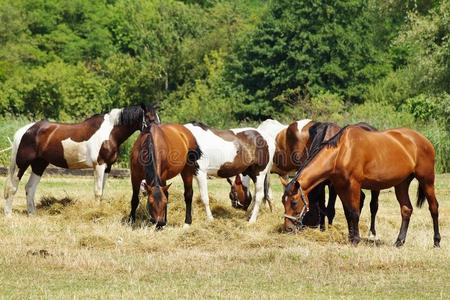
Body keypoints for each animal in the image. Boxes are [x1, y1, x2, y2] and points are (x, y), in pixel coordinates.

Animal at [3, 103, 157, 216]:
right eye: (150, 118)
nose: (157, 133)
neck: (109, 133)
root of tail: (26, 130)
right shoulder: (99, 165)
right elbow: (97, 191)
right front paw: (96, 212)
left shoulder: (108, 167)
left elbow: (102, 191)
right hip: (22, 163)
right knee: (13, 187)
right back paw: (8, 214)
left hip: (39, 164)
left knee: (30, 188)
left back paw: (32, 213)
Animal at [284, 123, 442, 247]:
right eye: (283, 202)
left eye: (293, 202)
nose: (288, 228)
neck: (342, 152)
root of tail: (424, 140)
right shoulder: (340, 187)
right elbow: (348, 212)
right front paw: (351, 237)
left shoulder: (354, 185)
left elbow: (354, 212)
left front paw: (355, 240)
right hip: (401, 184)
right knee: (406, 209)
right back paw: (399, 242)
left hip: (427, 180)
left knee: (433, 208)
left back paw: (436, 241)